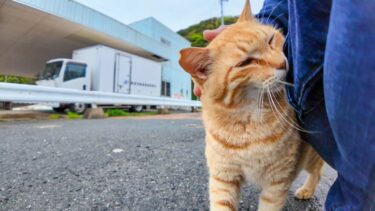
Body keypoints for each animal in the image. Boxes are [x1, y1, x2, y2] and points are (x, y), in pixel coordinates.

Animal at [178, 0, 324, 210]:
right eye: (246, 62)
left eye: (270, 40)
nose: (283, 63)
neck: (248, 120)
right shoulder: (223, 178)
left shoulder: (276, 181)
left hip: (310, 158)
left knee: (318, 171)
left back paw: (307, 190)